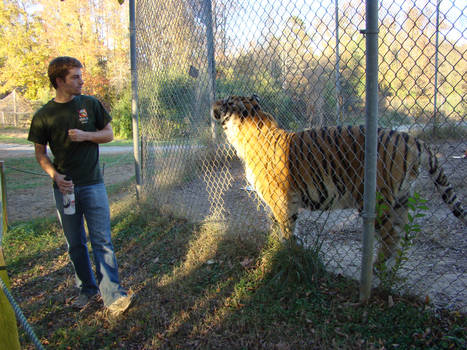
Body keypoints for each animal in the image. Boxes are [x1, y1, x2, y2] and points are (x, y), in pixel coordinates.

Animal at [213, 94, 467, 264]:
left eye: (226, 101)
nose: (213, 104)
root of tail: (413, 140)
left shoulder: (281, 199)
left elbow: (286, 226)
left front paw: (288, 250)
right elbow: (276, 224)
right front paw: (279, 246)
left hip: (377, 200)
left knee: (390, 237)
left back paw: (376, 268)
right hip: (401, 199)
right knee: (401, 237)